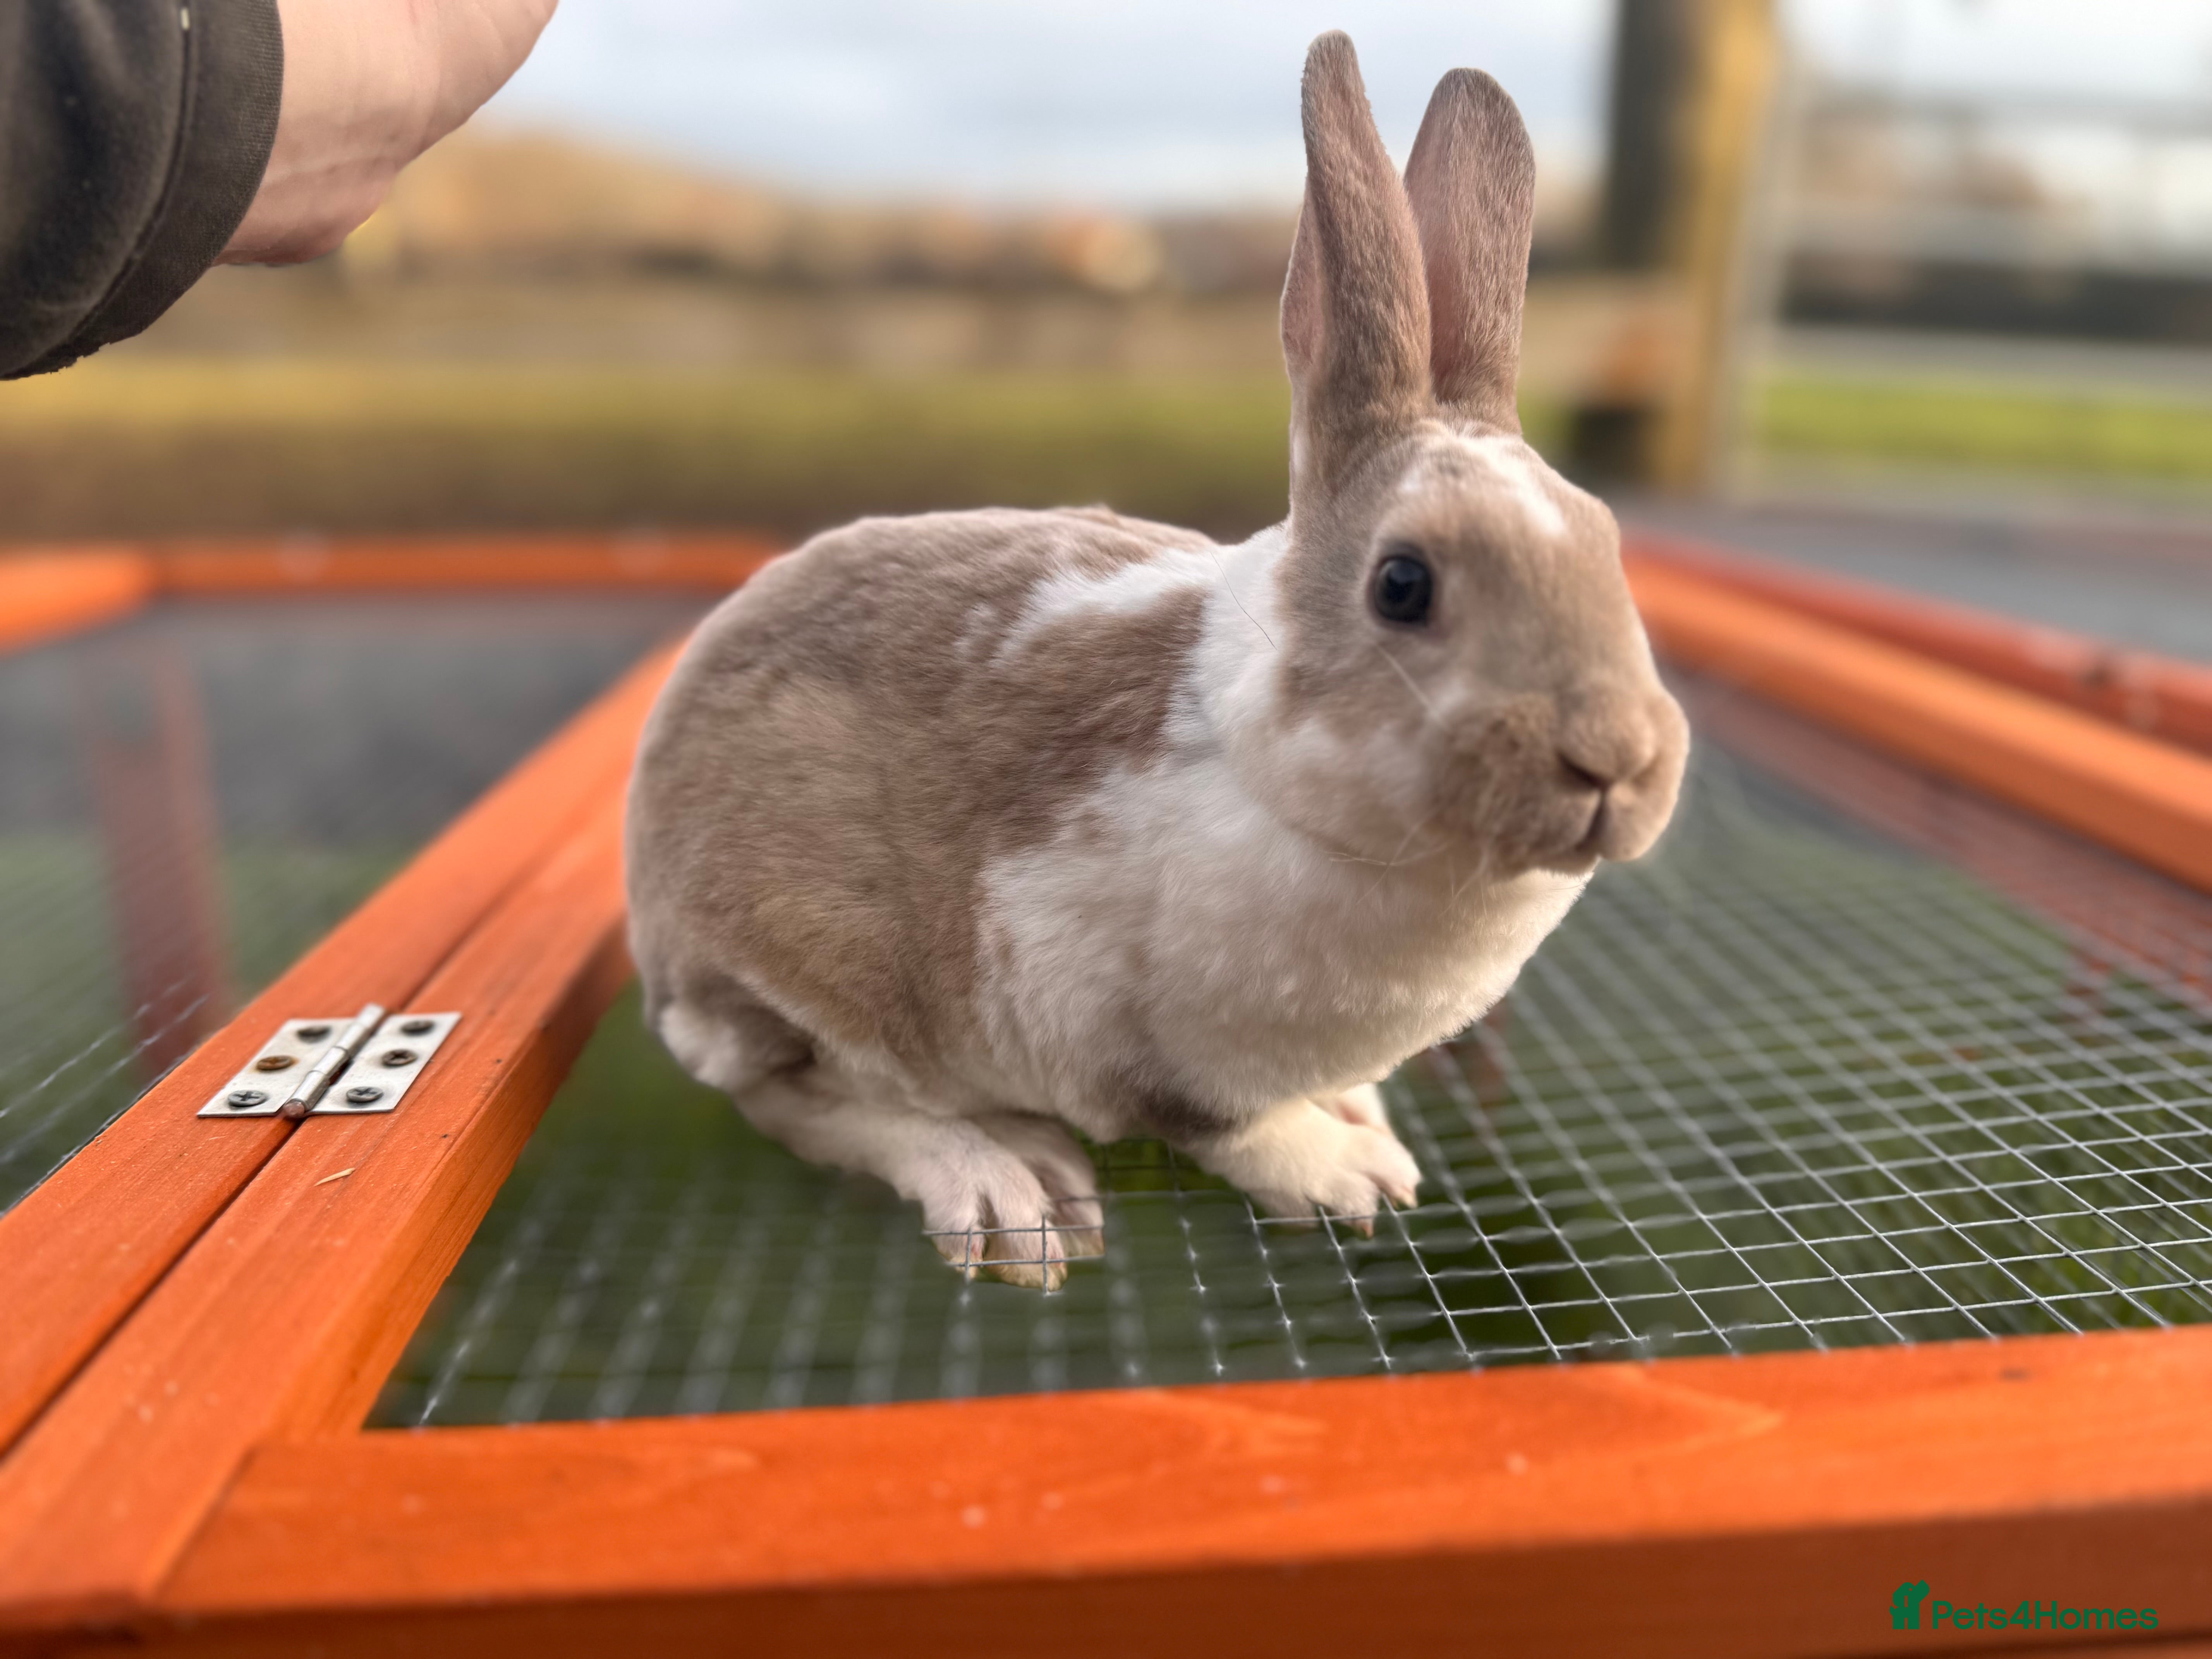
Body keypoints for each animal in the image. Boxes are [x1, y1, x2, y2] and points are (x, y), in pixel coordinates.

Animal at [625, 32, 1689, 1290]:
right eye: (1402, 584)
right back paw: (1012, 1191)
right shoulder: (1107, 1014)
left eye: (1607, 543)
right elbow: (1217, 1123)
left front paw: (1362, 1121)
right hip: (803, 965)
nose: (1614, 760)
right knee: (807, 1099)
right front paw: (1350, 1178)